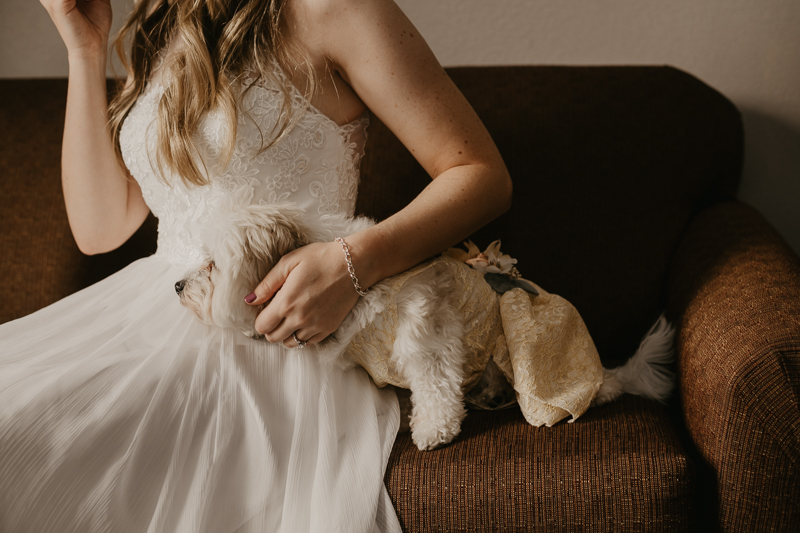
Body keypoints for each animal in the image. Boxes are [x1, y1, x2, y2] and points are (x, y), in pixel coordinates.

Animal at [177, 203, 676, 448]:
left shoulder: (425, 335)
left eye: (213, 264)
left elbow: (434, 384)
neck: (354, 297)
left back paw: (598, 391)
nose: (178, 285)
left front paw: (433, 428)